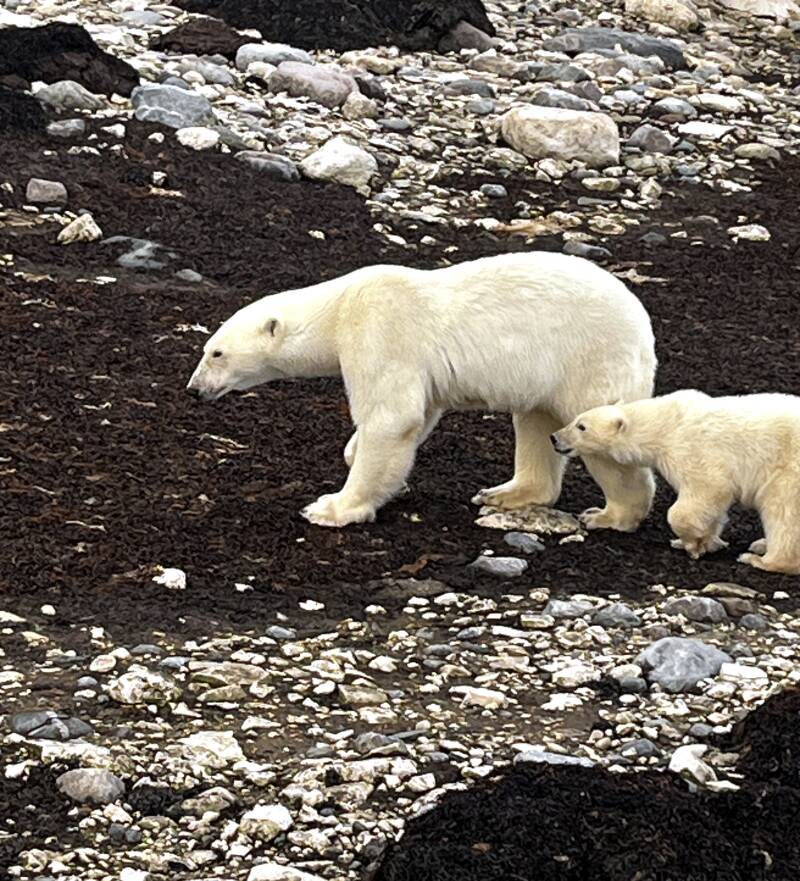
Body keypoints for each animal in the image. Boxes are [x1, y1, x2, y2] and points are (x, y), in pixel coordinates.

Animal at [186, 251, 657, 528]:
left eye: (216, 353)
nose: (193, 389)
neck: (337, 309)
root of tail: (643, 327)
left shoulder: (379, 327)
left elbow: (392, 417)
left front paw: (330, 507)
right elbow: (419, 413)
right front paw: (359, 457)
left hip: (589, 357)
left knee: (599, 431)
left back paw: (613, 514)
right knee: (535, 420)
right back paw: (505, 493)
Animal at [552, 389, 800, 575]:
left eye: (581, 426)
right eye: (575, 420)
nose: (554, 437)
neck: (665, 423)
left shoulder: (692, 448)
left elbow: (706, 490)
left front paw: (691, 544)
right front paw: (703, 542)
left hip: (789, 473)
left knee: (782, 514)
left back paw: (762, 559)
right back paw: (761, 544)